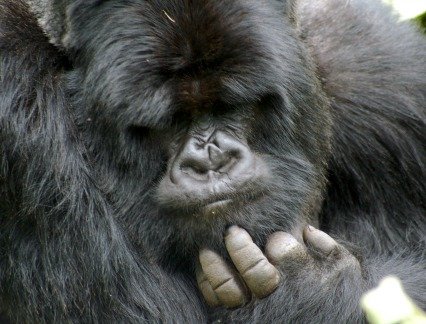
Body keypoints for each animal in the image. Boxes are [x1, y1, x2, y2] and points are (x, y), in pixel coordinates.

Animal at [0, 0, 424, 322]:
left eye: (230, 105)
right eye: (169, 122)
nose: (210, 162)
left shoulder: (382, 69)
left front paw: (316, 287)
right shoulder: (18, 101)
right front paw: (321, 288)